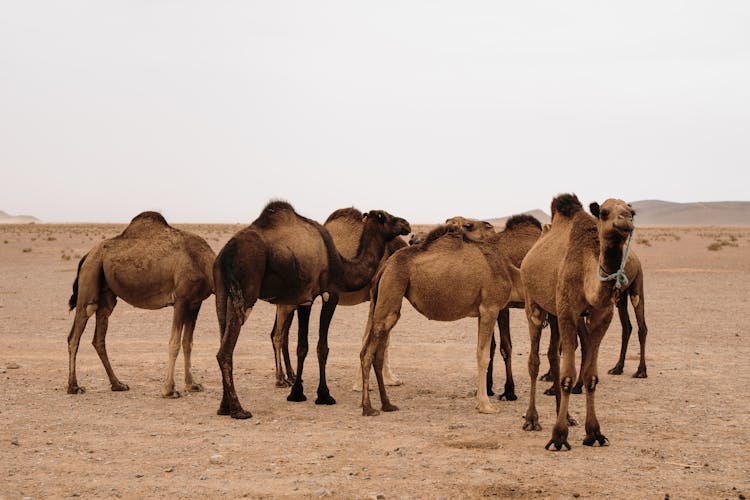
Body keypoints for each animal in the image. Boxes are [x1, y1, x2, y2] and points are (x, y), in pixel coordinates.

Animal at [66, 211, 216, 398]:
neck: (203, 262)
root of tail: (88, 254)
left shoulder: (195, 302)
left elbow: (187, 342)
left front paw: (192, 385)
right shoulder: (181, 300)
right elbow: (174, 343)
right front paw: (169, 390)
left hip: (106, 292)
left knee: (99, 336)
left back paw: (117, 384)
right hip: (90, 275)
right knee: (76, 331)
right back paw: (74, 387)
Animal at [212, 200, 412, 418]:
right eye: (385, 216)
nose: (406, 224)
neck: (340, 264)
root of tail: (225, 254)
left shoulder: (304, 300)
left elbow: (302, 347)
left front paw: (297, 393)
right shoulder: (330, 294)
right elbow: (322, 347)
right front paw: (325, 395)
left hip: (223, 295)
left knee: (231, 336)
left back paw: (225, 406)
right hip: (247, 295)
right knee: (231, 349)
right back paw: (240, 408)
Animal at [358, 225, 524, 416]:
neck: (510, 274)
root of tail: (385, 266)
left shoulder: (482, 313)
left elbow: (483, 351)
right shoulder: (490, 307)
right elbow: (483, 356)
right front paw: (485, 405)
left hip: (387, 299)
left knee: (377, 353)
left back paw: (387, 405)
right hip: (392, 286)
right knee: (367, 353)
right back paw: (368, 408)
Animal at [520, 194, 636, 450]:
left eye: (632, 212)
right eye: (604, 212)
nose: (624, 221)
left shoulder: (601, 316)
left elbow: (590, 376)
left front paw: (594, 433)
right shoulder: (568, 311)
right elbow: (568, 375)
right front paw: (558, 437)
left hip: (553, 312)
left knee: (553, 355)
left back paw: (566, 416)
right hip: (533, 303)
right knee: (534, 360)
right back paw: (532, 419)